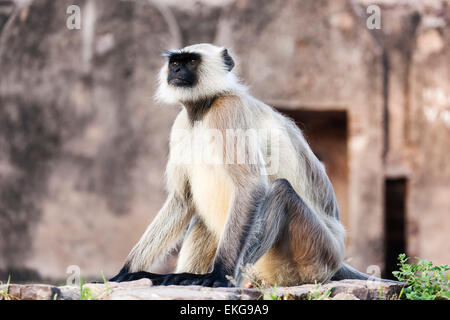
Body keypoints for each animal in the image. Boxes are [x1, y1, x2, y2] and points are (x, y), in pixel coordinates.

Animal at [110, 43, 372, 288]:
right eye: (175, 62)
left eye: (191, 61)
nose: (175, 71)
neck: (203, 109)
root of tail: (338, 256)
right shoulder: (181, 124)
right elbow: (182, 198)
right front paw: (126, 271)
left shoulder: (228, 109)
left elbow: (251, 185)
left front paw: (218, 274)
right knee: (203, 219)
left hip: (317, 253)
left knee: (280, 192)